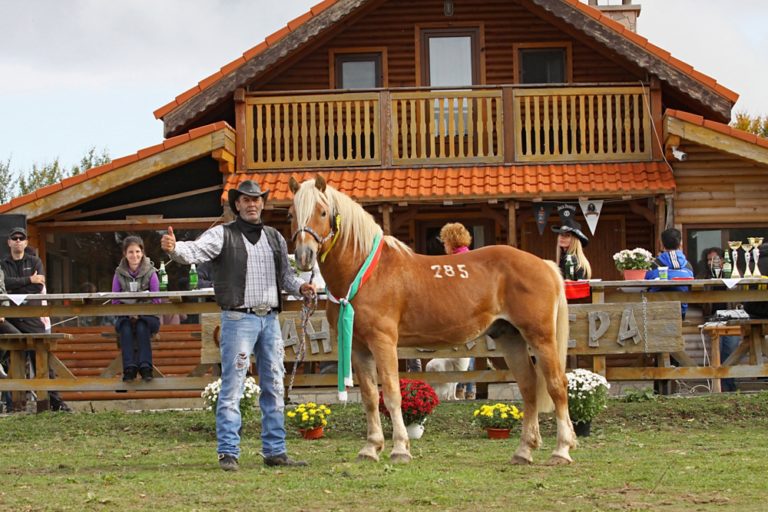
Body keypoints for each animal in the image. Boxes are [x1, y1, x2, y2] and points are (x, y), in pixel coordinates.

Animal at [290, 175, 576, 464]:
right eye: (292, 214)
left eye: (322, 212)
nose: (304, 256)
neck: (366, 272)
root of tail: (545, 265)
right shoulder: (359, 348)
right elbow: (370, 397)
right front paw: (371, 448)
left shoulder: (383, 342)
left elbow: (391, 393)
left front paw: (400, 448)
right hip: (510, 337)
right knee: (529, 387)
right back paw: (524, 450)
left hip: (540, 337)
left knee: (557, 385)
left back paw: (561, 450)